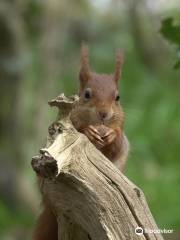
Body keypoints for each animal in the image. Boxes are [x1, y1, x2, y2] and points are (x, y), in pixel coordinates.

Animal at [33, 45, 129, 240]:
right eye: (86, 95)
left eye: (117, 97)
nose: (104, 113)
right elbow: (79, 130)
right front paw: (88, 132)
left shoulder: (121, 137)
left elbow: (116, 146)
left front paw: (111, 135)